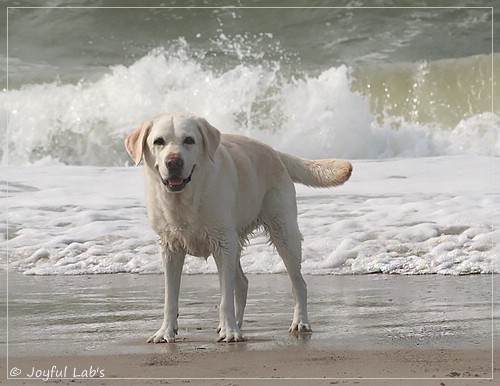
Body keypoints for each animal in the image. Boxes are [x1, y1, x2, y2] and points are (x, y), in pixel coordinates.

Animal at [125, 113, 352, 342]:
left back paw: (300, 322)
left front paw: (230, 331)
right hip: (238, 239)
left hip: (283, 231)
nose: (173, 162)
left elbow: (225, 298)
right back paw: (239, 323)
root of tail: (274, 152)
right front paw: (165, 332)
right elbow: (170, 298)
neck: (185, 200)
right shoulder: (170, 248)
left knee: (299, 283)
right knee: (242, 282)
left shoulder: (223, 244)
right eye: (158, 141)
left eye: (189, 140)